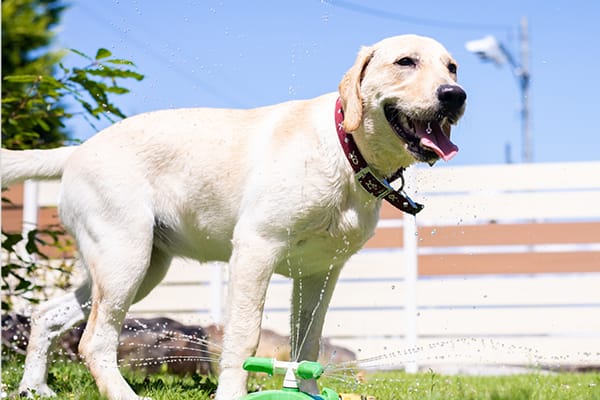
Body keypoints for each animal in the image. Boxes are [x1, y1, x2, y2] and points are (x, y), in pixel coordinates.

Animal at [2, 35, 466, 400]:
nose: (455, 95)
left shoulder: (319, 273)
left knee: (47, 315)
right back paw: (122, 395)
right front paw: (231, 393)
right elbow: (243, 340)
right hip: (125, 259)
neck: (345, 149)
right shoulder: (255, 250)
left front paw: (307, 392)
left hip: (137, 266)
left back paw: (33, 387)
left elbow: (307, 346)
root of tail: (78, 150)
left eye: (452, 67)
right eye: (405, 61)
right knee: (94, 342)